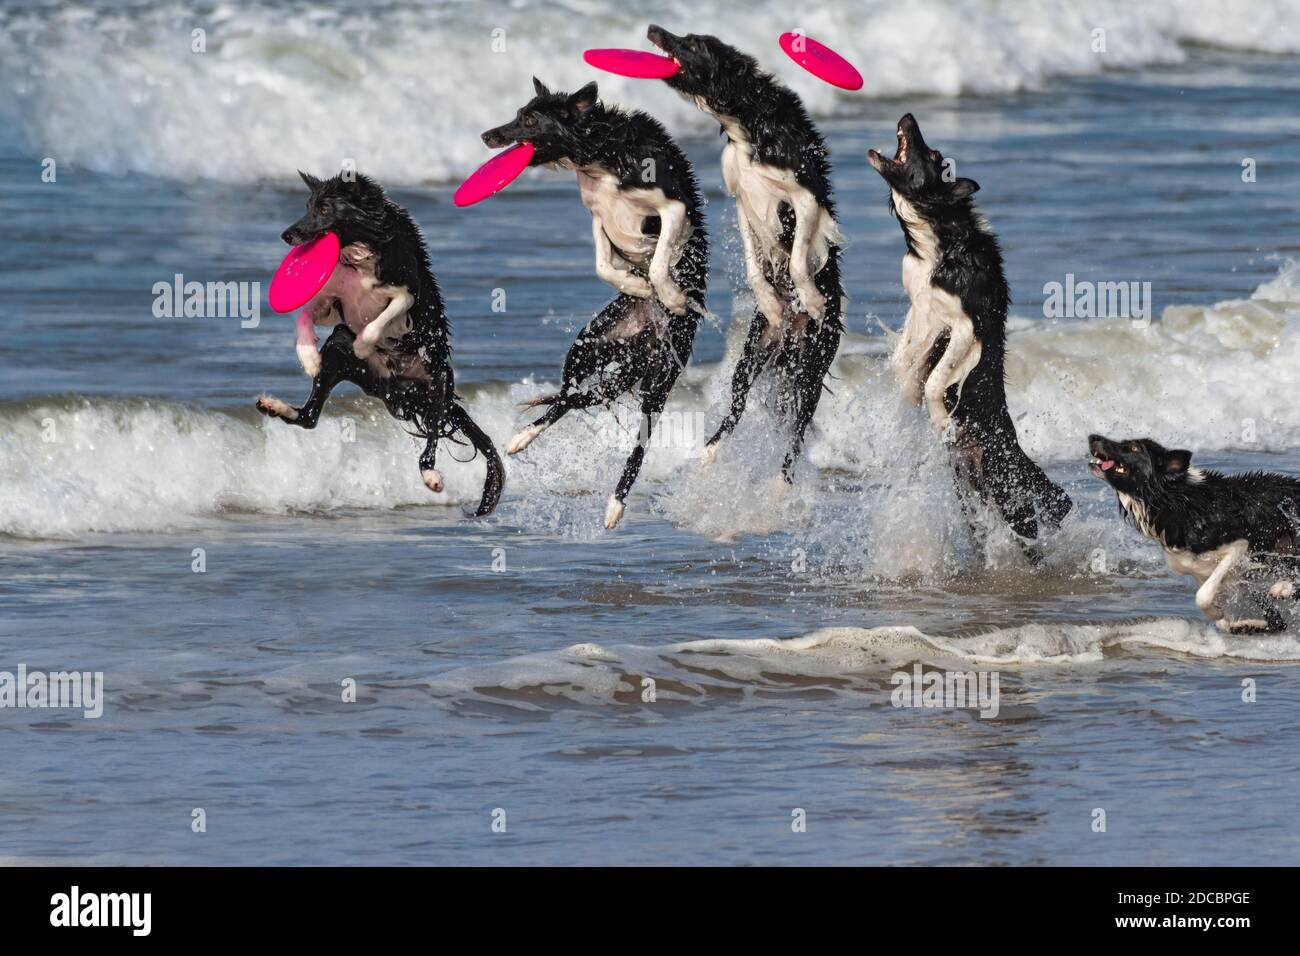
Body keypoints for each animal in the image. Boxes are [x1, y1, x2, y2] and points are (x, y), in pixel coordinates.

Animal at [253, 170, 501, 515]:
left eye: (324, 208)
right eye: (307, 206)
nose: (287, 235)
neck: (357, 250)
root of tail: (393, 387)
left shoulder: (407, 293)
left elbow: (382, 318)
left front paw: (364, 344)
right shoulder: (332, 301)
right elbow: (303, 314)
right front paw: (308, 357)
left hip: (438, 383)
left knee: (431, 442)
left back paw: (431, 477)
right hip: (338, 349)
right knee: (309, 417)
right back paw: (274, 406)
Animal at [483, 77, 707, 530]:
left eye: (529, 120)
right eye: (517, 114)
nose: (487, 136)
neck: (599, 151)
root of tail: (644, 341)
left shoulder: (673, 207)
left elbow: (661, 259)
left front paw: (669, 294)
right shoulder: (597, 215)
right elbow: (603, 262)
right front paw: (635, 284)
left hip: (660, 377)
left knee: (636, 441)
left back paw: (614, 505)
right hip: (590, 344)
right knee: (568, 396)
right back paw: (521, 437)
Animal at [647, 26, 847, 478]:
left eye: (692, 43)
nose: (653, 30)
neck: (746, 121)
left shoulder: (805, 196)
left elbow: (798, 257)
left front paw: (809, 297)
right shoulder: (741, 197)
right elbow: (758, 266)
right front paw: (771, 301)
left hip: (812, 365)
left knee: (797, 430)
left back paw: (782, 482)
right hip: (754, 353)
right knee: (737, 408)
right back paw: (709, 452)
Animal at [868, 113, 1071, 538]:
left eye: (933, 155)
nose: (908, 116)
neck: (939, 236)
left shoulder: (965, 326)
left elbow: (935, 380)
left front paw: (939, 417)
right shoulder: (921, 311)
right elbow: (905, 365)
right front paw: (907, 400)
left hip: (1007, 493)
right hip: (968, 489)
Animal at [1086, 434, 1300, 634]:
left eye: (1134, 448)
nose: (1092, 437)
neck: (1174, 500)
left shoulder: (1239, 546)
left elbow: (1202, 596)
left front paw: (1218, 612)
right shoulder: (1202, 569)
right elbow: (1221, 612)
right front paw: (1225, 619)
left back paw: (1282, 589)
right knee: (1279, 622)